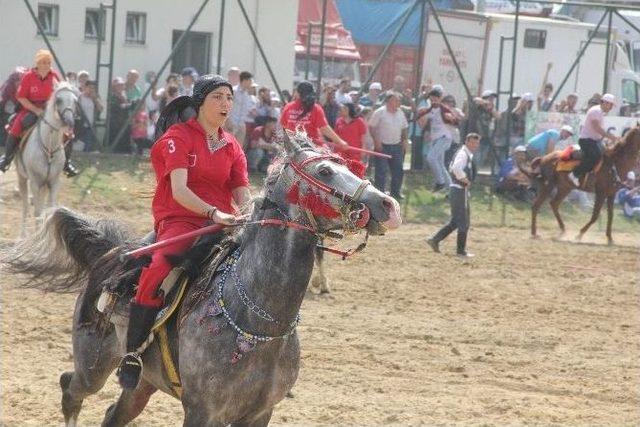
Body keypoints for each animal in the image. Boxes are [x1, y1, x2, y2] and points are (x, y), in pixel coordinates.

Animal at [3, 132, 400, 427]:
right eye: (326, 171)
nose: (389, 205)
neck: (258, 320)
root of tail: (112, 255)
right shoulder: (202, 410)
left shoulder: (259, 413)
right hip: (93, 366)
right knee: (70, 390)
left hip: (142, 384)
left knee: (114, 413)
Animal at [15, 83, 79, 237]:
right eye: (59, 100)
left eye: (75, 101)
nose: (70, 121)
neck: (49, 148)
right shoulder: (35, 182)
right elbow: (37, 212)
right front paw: (36, 238)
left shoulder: (54, 182)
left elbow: (50, 211)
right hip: (22, 178)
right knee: (25, 205)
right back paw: (23, 235)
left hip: (44, 185)